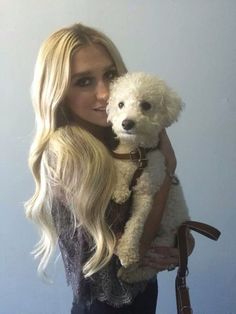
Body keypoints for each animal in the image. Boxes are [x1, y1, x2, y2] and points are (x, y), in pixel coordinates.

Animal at [107, 72, 190, 284]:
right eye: (120, 104)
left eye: (145, 105)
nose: (126, 123)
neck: (137, 154)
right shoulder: (120, 162)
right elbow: (118, 175)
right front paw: (120, 191)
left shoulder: (147, 193)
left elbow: (136, 223)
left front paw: (127, 252)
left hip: (162, 242)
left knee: (149, 269)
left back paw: (130, 272)